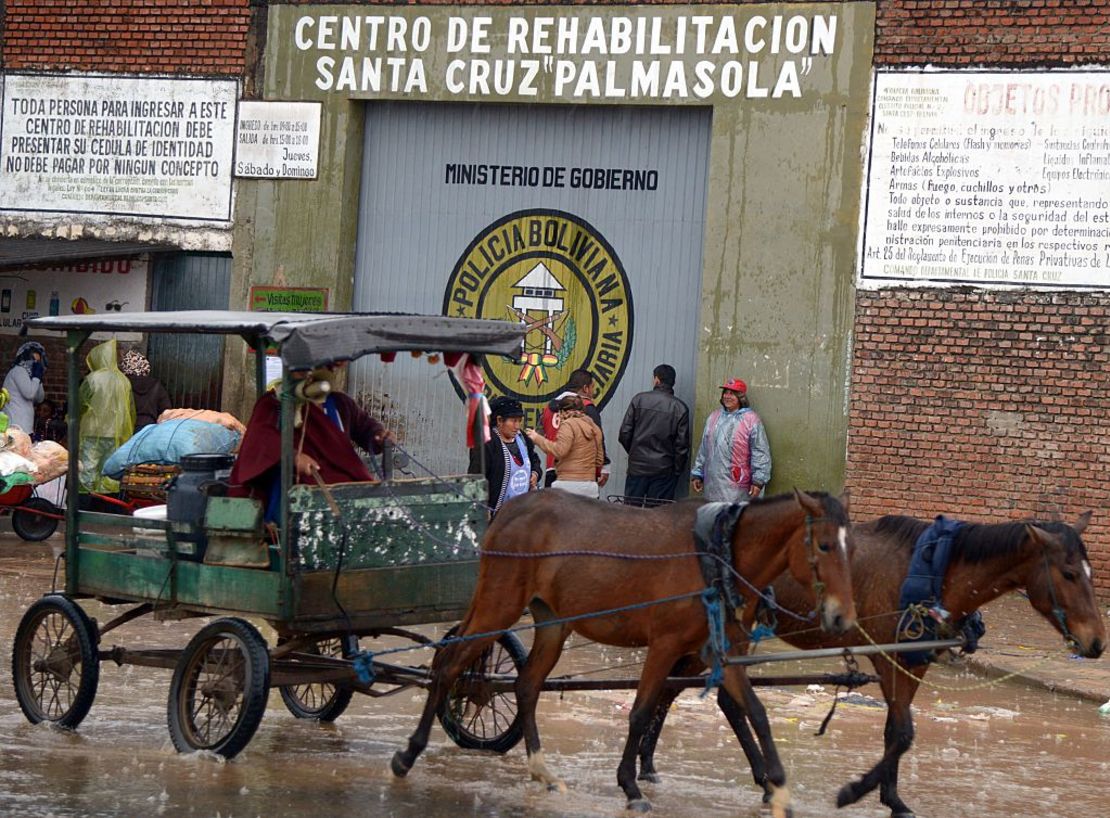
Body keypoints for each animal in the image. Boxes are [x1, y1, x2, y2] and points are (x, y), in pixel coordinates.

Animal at [392, 488, 856, 812]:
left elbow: (755, 713)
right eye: (824, 545)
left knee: (525, 687)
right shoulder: (664, 645)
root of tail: (509, 508)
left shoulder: (718, 652)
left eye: (851, 547)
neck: (715, 554)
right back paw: (409, 754)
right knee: (448, 666)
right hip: (498, 606)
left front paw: (777, 787)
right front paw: (630, 785)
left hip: (552, 624)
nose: (841, 616)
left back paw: (542, 770)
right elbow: (641, 712)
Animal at [639, 512, 1105, 812]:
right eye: (1068, 574)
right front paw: (856, 791)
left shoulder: (914, 661)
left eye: (1089, 573)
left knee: (706, 695)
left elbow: (894, 731)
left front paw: (891, 797)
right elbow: (903, 733)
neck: (933, 570)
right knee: (682, 690)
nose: (1097, 642)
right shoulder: (888, 658)